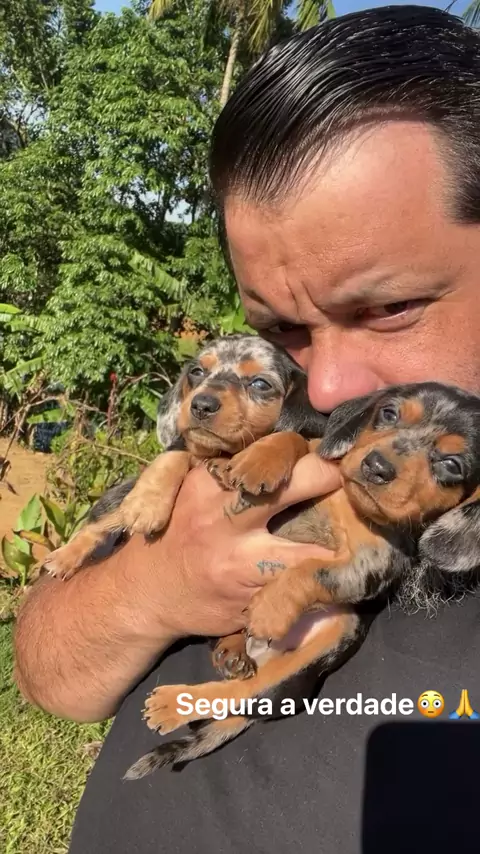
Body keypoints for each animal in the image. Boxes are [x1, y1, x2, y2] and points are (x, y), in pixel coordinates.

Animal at [124, 381, 480, 780]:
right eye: (389, 413)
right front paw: (257, 461)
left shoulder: (371, 564)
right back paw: (232, 649)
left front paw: (271, 608)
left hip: (327, 642)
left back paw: (173, 703)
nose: (375, 466)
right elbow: (297, 438)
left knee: (245, 694)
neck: (348, 503)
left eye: (451, 464)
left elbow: (312, 571)